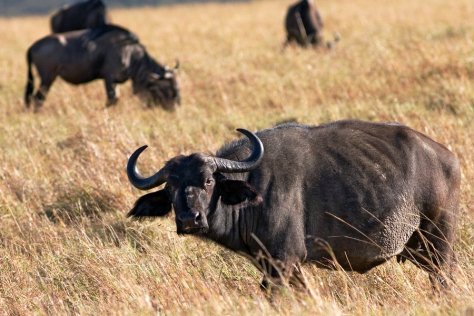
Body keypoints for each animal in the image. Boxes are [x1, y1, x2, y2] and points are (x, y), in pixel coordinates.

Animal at [24, 25, 180, 111]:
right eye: (168, 88)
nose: (175, 108)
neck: (131, 54)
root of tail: (33, 46)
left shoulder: (115, 81)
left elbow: (115, 99)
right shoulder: (109, 78)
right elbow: (112, 99)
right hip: (48, 78)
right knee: (38, 98)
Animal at [126, 120, 460, 288]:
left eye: (208, 180)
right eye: (171, 187)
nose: (189, 219)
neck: (255, 188)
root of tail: (448, 157)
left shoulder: (283, 261)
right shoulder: (284, 265)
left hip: (437, 248)